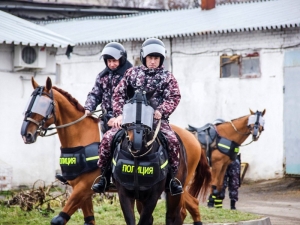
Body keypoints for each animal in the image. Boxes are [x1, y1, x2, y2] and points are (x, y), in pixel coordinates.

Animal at [20, 77, 211, 225]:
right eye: (29, 102)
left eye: (44, 104)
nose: (26, 134)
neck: (81, 136)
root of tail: (193, 138)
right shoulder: (82, 189)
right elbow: (89, 220)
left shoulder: (84, 188)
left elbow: (59, 219)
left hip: (178, 187)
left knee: (186, 207)